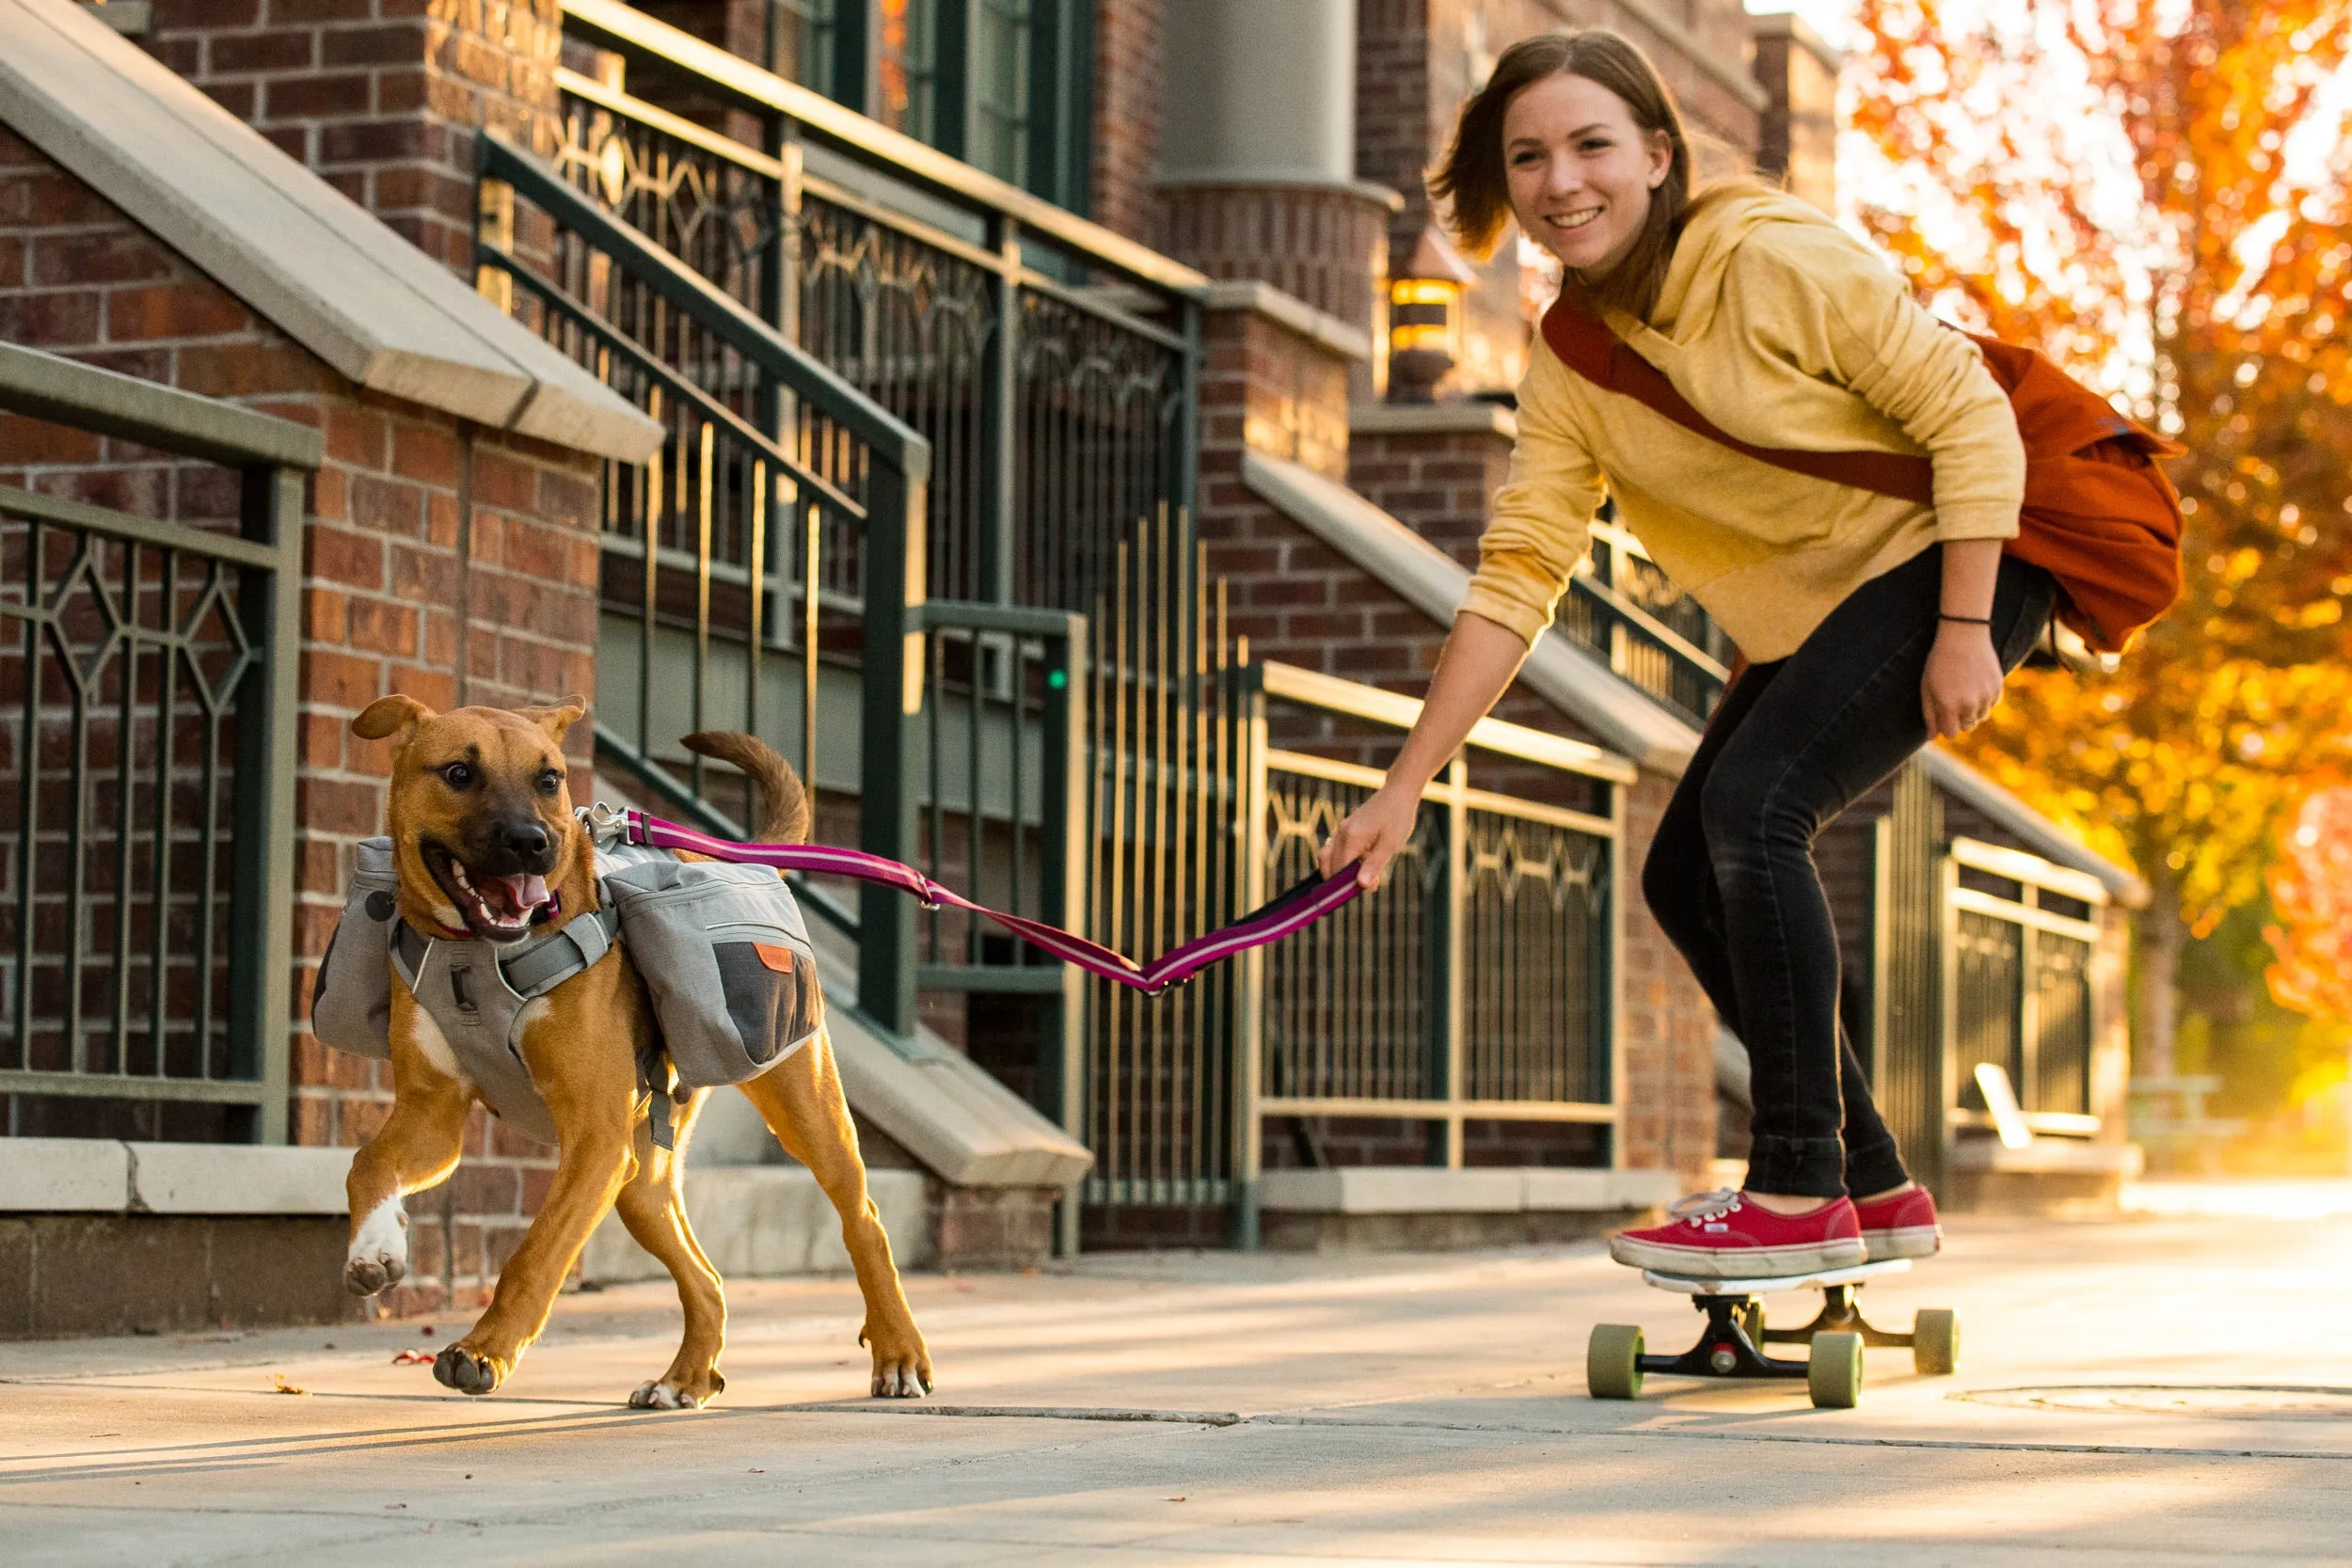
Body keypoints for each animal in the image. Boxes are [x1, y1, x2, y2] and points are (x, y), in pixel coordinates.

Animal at [341, 700, 927, 1410]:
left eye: (549, 778)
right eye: (458, 772)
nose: (533, 842)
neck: (478, 954)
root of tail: (747, 862)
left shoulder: (595, 1139)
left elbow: (535, 1254)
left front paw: (485, 1349)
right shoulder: (434, 1116)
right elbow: (367, 1164)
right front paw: (374, 1246)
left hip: (801, 1106)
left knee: (862, 1219)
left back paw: (897, 1350)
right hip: (641, 1177)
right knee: (706, 1278)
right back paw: (686, 1377)